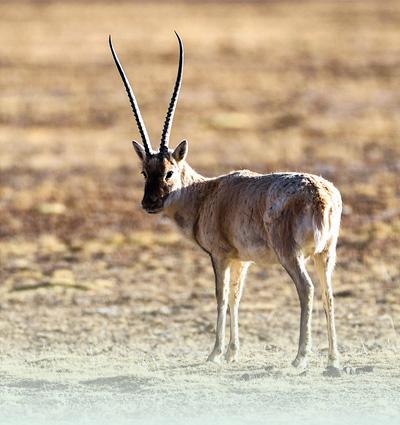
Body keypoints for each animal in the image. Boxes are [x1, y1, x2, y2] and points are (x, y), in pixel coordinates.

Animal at [108, 33, 340, 370]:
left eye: (169, 172)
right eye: (144, 172)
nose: (149, 203)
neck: (206, 193)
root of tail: (320, 195)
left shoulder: (219, 256)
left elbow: (219, 297)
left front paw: (215, 352)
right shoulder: (241, 259)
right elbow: (235, 298)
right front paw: (232, 351)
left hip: (291, 255)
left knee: (307, 289)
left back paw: (300, 357)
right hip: (326, 254)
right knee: (328, 293)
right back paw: (333, 360)